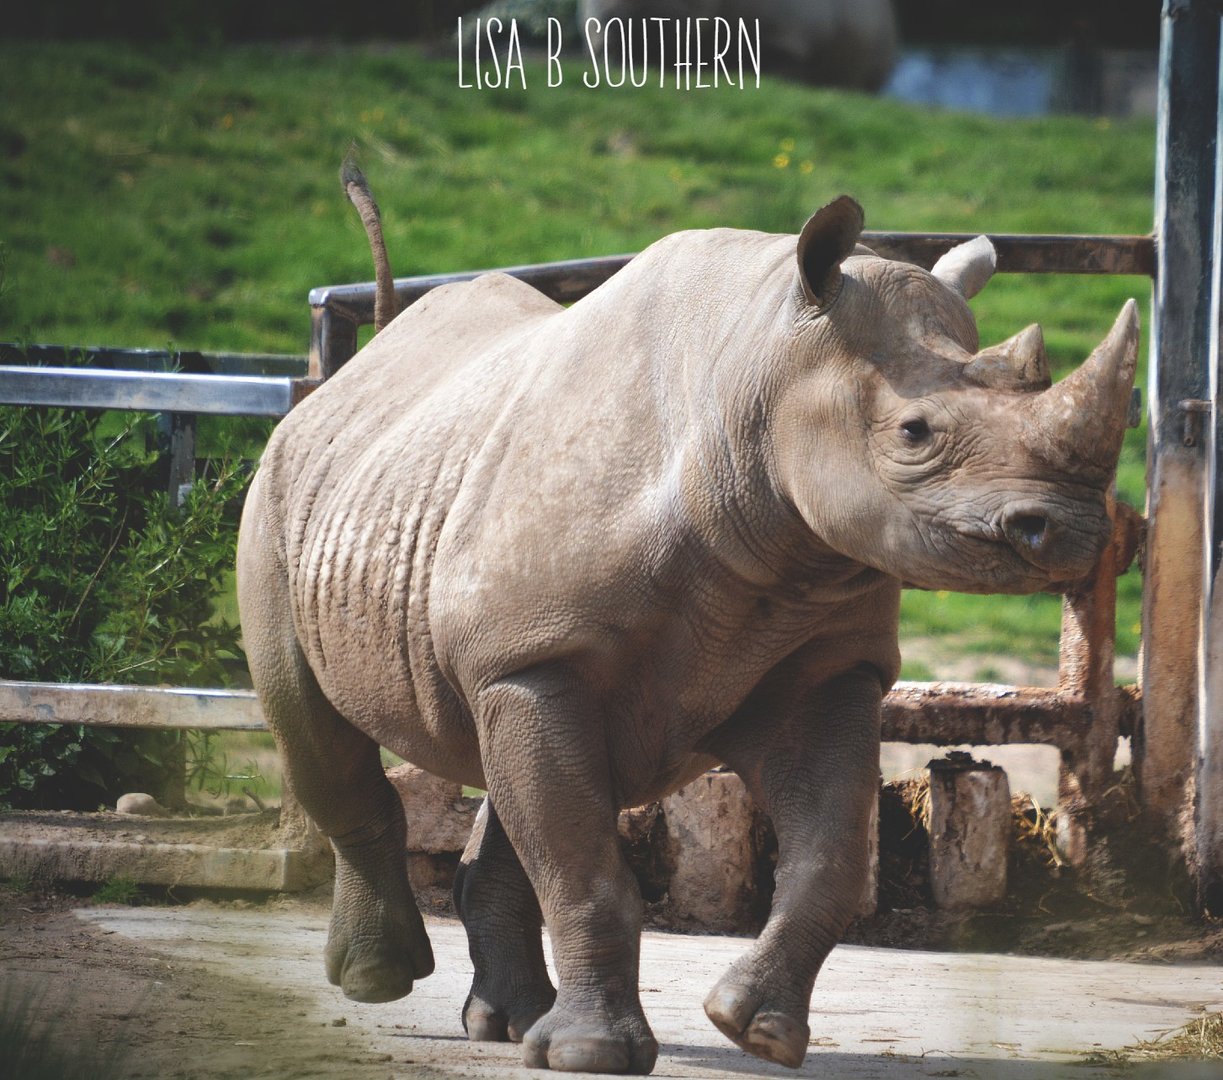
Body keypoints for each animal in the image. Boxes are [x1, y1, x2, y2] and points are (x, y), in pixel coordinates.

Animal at [236, 181, 1138, 1074]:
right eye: (914, 433)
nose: (1070, 530)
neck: (755, 377)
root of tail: (344, 377)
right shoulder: (538, 657)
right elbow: (583, 867)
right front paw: (594, 1054)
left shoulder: (824, 661)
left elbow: (833, 854)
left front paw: (755, 1030)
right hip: (277, 496)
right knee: (313, 726)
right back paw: (380, 983)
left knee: (500, 777)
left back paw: (508, 1025)